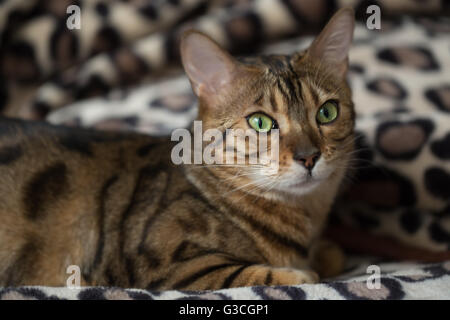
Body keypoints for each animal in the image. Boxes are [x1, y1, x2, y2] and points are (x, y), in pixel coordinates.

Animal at [0, 8, 356, 290]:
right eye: (260, 122)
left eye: (327, 112)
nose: (309, 156)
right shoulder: (169, 266)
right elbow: (254, 275)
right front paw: (301, 273)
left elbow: (332, 254)